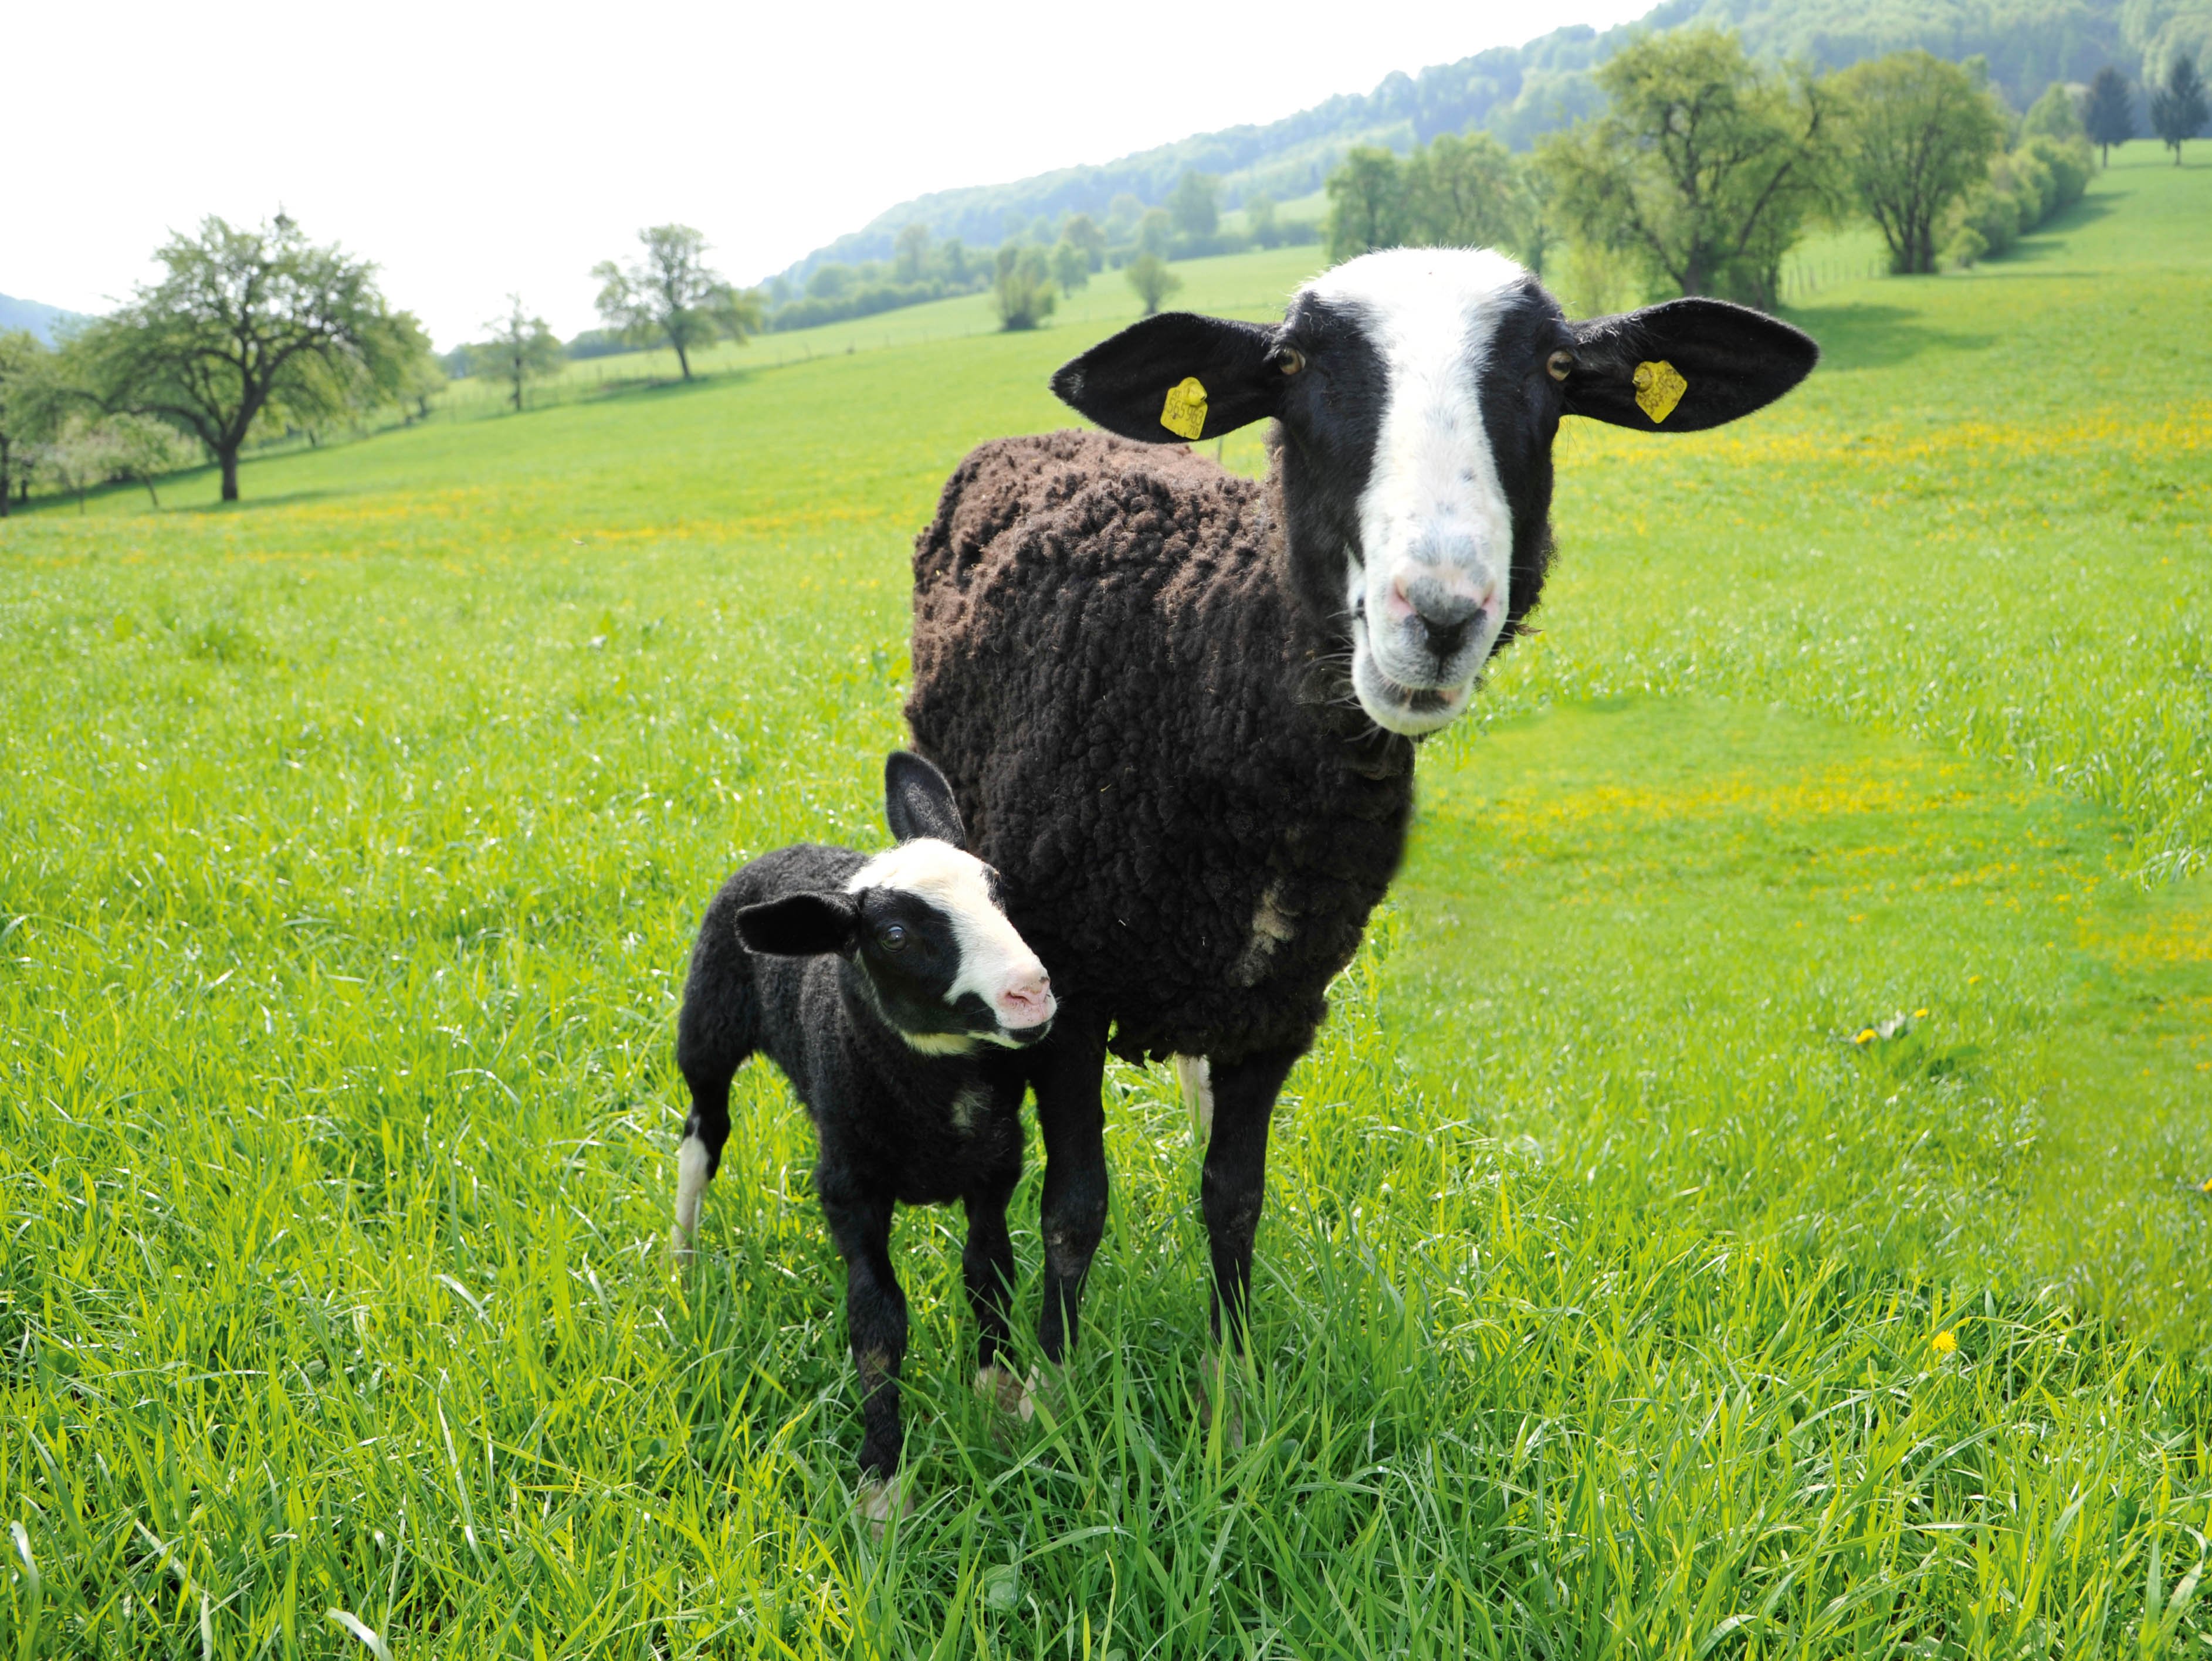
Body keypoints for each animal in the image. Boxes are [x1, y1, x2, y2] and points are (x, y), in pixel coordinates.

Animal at [671, 750, 1057, 1524]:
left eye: (999, 891)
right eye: (896, 937)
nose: (1031, 991)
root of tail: (790, 848)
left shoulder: (995, 1172)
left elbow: (988, 1278)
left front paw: (999, 1403)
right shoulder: (853, 1195)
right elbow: (878, 1328)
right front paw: (882, 1484)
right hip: (706, 1031)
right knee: (701, 1140)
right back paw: (682, 1258)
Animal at [905, 247, 1819, 1409]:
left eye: (1559, 371)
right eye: (1291, 368)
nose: (1437, 617)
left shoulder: (1281, 1002)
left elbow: (1233, 1195)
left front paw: (1231, 1388)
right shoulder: (1064, 990)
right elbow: (1075, 1207)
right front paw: (1055, 1396)